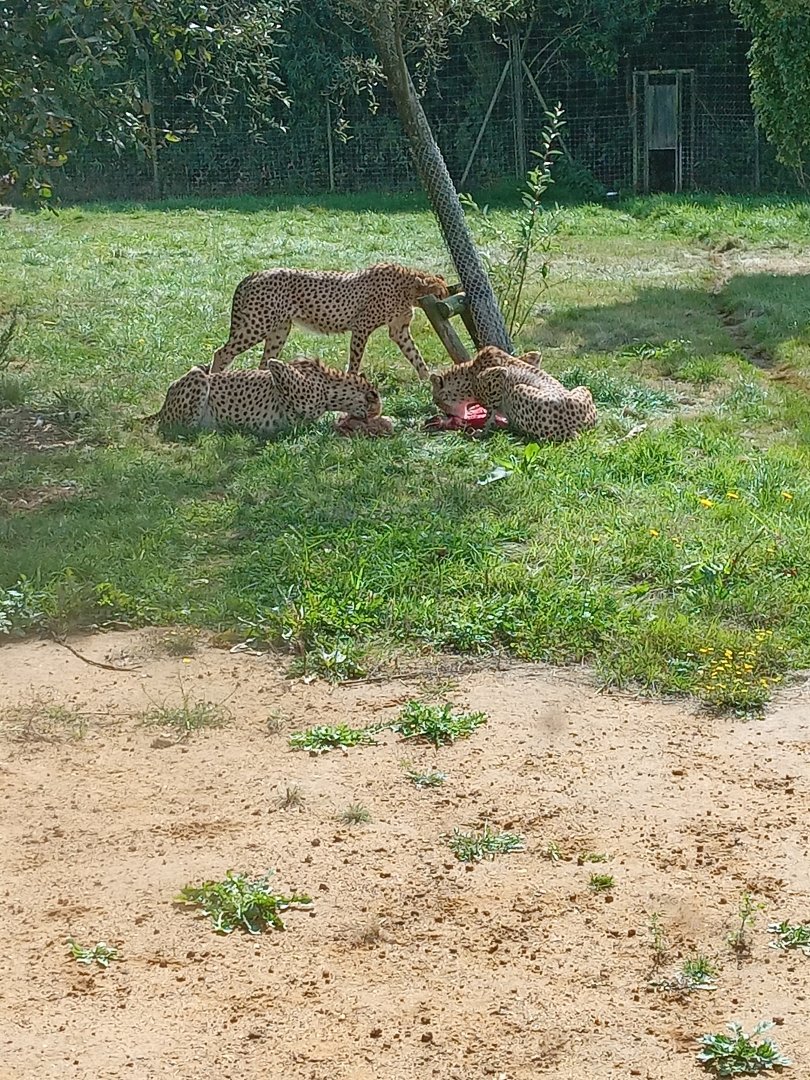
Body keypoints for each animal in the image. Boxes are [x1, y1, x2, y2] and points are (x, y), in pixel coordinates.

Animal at [145, 357, 382, 436]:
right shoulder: (280, 372)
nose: (377, 414)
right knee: (181, 429)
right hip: (198, 377)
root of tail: (162, 408)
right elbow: (273, 365)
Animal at [210, 263, 449, 380]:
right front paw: (352, 382)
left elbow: (415, 355)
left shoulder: (399, 331)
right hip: (257, 325)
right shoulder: (361, 328)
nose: (443, 305)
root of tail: (254, 274)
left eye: (445, 292)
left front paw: (426, 378)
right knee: (222, 352)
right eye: (439, 294)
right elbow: (355, 360)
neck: (408, 287)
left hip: (279, 330)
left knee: (264, 361)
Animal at [430, 345, 596, 443]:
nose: (448, 416)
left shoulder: (498, 375)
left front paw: (482, 431)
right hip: (582, 388)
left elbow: (490, 412)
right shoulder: (534, 356)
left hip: (518, 390)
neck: (468, 375)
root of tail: (582, 425)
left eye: (437, 401)